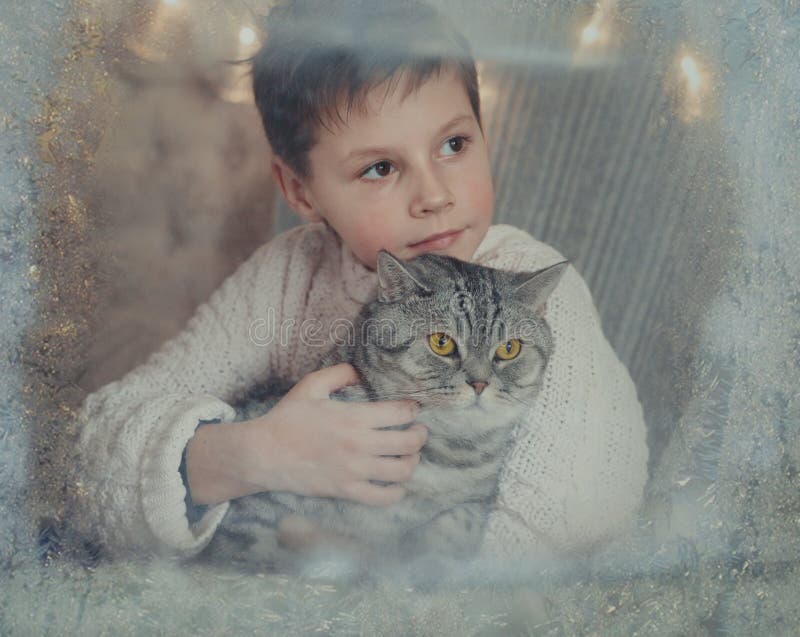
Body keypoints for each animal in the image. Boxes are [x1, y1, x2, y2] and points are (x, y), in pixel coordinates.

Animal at [202, 248, 568, 576]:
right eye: (442, 343)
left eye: (509, 349)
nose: (479, 383)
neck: (443, 453)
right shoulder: (254, 505)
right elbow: (263, 540)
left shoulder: (478, 503)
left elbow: (454, 525)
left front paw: (426, 560)